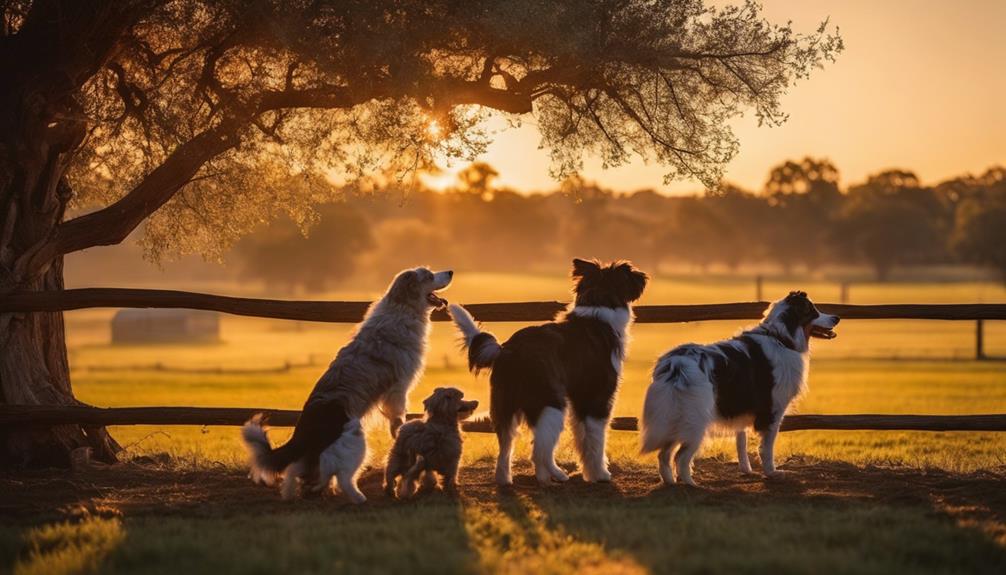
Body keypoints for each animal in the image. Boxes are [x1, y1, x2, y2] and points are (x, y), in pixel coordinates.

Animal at [450, 257, 651, 486]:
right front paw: (600, 474)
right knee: (539, 450)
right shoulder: (598, 398)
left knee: (506, 450)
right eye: (629, 273)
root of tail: (507, 349)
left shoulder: (579, 400)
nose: (644, 277)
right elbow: (596, 442)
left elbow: (582, 439)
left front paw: (588, 474)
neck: (598, 305)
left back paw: (515, 480)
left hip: (506, 410)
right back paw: (556, 475)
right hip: (551, 404)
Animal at [639, 291, 836, 484]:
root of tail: (674, 365)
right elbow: (766, 448)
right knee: (680, 457)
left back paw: (670, 483)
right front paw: (772, 473)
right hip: (695, 420)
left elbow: (741, 441)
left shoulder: (742, 409)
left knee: (664, 455)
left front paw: (746, 470)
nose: (836, 318)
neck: (780, 336)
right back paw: (691, 485)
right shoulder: (773, 411)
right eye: (812, 310)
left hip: (672, 418)